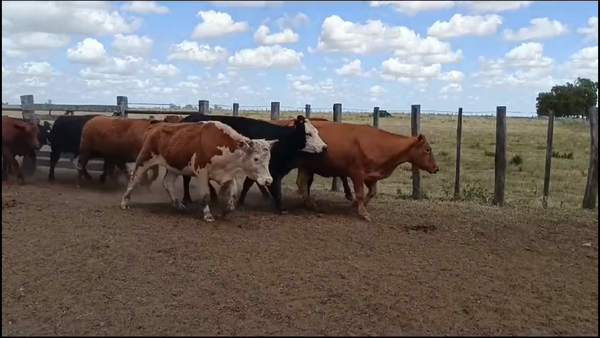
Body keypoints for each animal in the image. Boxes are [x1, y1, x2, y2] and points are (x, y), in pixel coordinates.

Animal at [120, 121, 278, 222]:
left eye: (269, 159)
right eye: (256, 158)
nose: (268, 180)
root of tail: (153, 128)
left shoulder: (228, 174)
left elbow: (233, 195)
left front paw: (226, 211)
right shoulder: (201, 172)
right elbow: (206, 195)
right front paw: (208, 215)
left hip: (174, 166)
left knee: (167, 183)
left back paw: (179, 206)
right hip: (145, 159)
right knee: (134, 177)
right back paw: (124, 202)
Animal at [178, 115, 328, 213]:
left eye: (316, 132)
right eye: (308, 134)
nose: (324, 147)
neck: (282, 140)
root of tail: (187, 118)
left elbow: (247, 184)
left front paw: (240, 201)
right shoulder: (272, 171)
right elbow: (274, 188)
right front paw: (280, 207)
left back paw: (214, 196)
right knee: (186, 178)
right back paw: (188, 198)